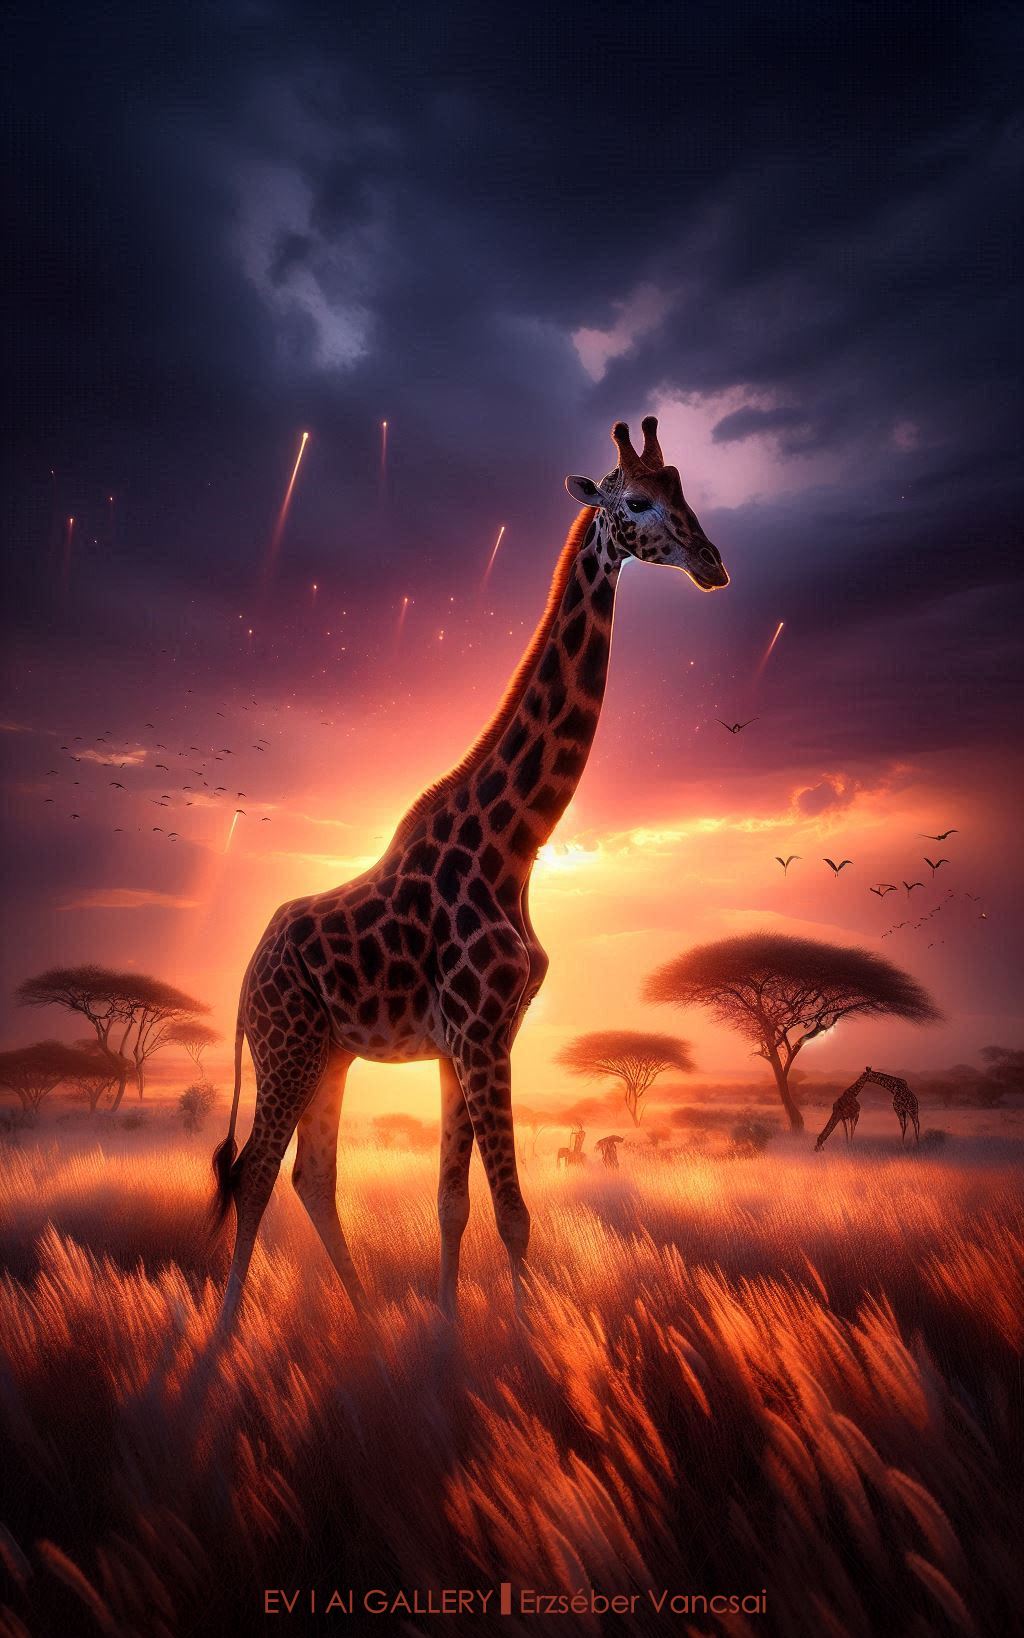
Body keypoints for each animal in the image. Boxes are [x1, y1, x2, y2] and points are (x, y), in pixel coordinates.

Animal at [211, 417, 729, 1325]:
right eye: (633, 502)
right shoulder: (482, 1031)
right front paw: (524, 1343)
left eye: (682, 488)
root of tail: (247, 971)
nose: (712, 562)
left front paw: (448, 1336)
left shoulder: (478, 1036)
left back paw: (367, 1322)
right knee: (252, 1175)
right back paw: (225, 1339)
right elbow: (514, 1214)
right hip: (285, 1043)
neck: (513, 843)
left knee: (312, 1176)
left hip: (330, 1053)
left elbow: (455, 1202)